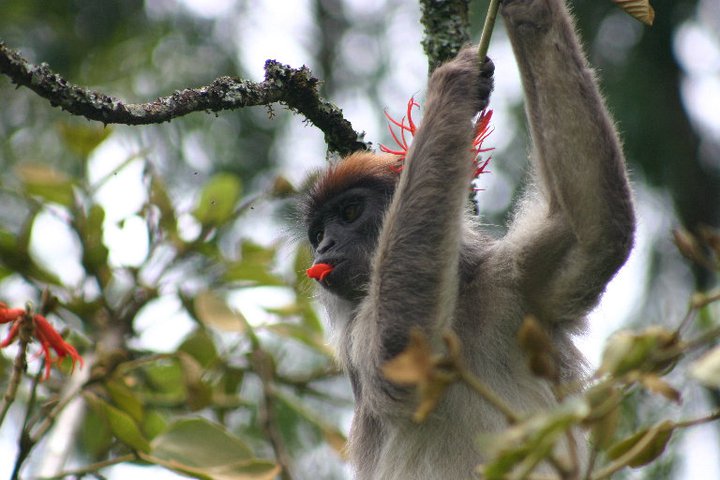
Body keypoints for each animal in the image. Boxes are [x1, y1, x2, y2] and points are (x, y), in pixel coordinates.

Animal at [298, 1, 636, 478]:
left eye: (348, 214)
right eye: (318, 235)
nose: (324, 248)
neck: (453, 302)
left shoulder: (508, 281)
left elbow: (595, 232)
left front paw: (528, 11)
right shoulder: (357, 335)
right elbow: (399, 349)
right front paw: (452, 85)